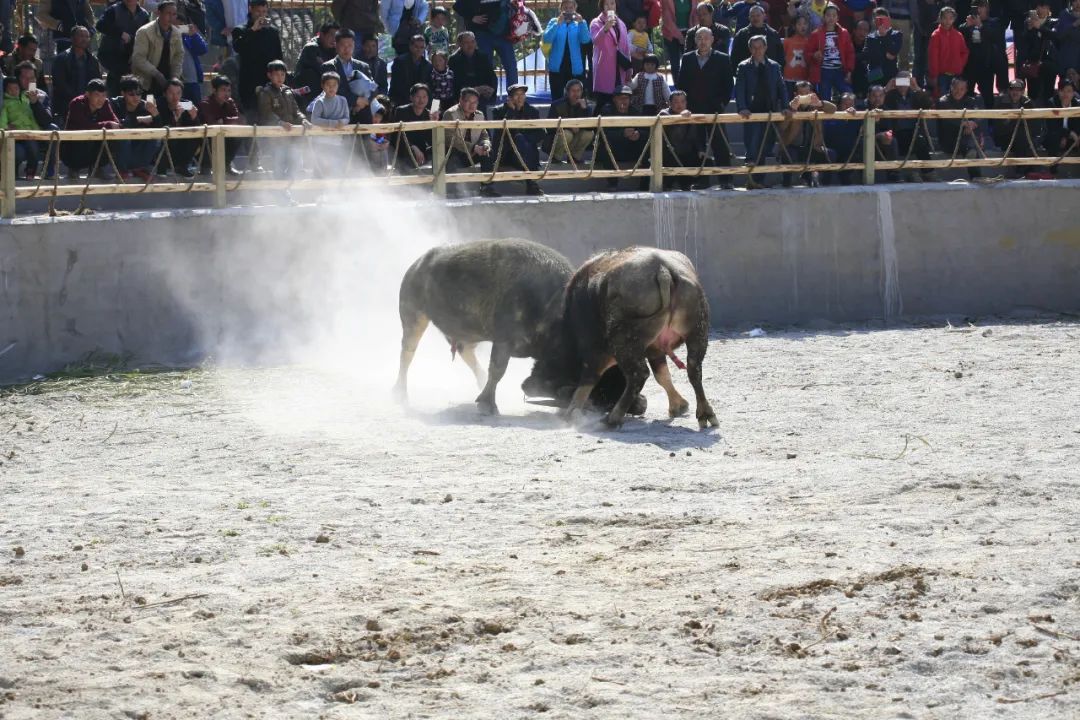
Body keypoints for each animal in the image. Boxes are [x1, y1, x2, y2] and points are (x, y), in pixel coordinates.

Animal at [520, 248, 717, 427]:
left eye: (550, 359)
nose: (526, 385)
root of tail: (663, 271)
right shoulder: (655, 349)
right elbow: (662, 375)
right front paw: (678, 406)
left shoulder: (593, 350)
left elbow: (586, 381)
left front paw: (571, 412)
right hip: (697, 332)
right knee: (694, 369)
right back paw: (706, 414)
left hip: (622, 343)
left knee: (638, 374)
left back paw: (612, 418)